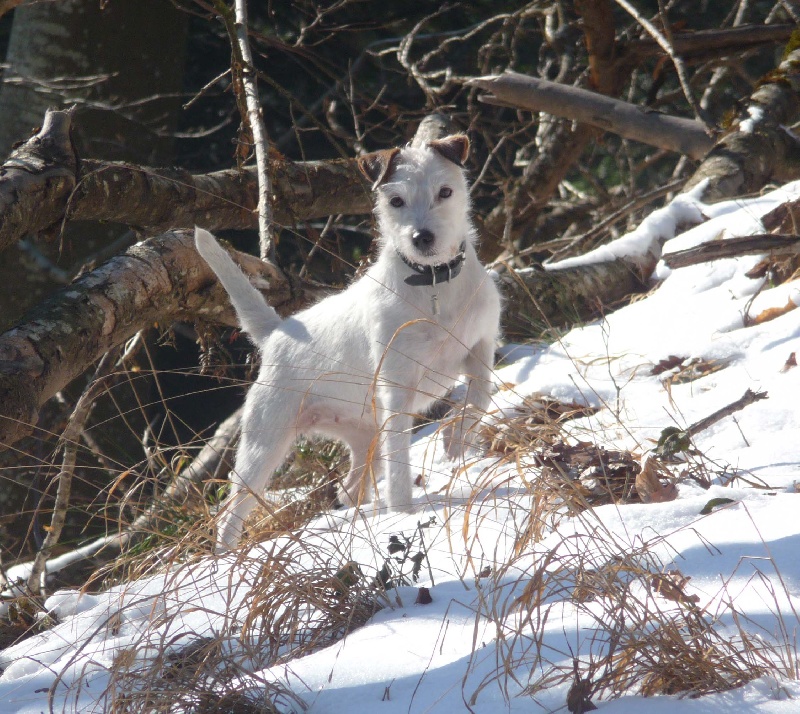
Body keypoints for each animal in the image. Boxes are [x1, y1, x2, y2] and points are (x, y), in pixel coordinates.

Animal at [195, 134, 500, 552]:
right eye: (396, 201)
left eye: (445, 192)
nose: (421, 238)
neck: (434, 284)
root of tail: (276, 333)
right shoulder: (396, 386)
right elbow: (400, 462)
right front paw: (404, 511)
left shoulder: (481, 348)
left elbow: (480, 397)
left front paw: (455, 437)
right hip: (264, 444)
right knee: (232, 510)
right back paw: (227, 556)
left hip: (363, 435)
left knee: (349, 488)